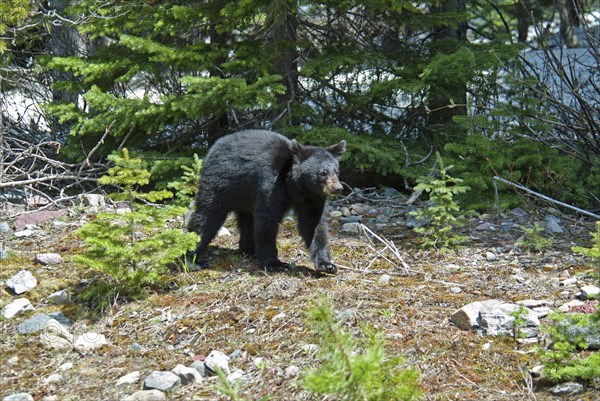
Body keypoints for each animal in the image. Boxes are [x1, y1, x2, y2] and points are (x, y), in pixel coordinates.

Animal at [188, 130, 346, 274]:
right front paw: (274, 264)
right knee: (207, 215)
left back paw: (248, 249)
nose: (338, 188)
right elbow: (267, 219)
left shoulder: (313, 197)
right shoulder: (271, 184)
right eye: (323, 172)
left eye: (337, 171)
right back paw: (192, 259)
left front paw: (326, 264)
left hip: (245, 196)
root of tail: (214, 147)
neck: (296, 187)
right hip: (220, 182)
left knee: (246, 219)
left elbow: (313, 224)